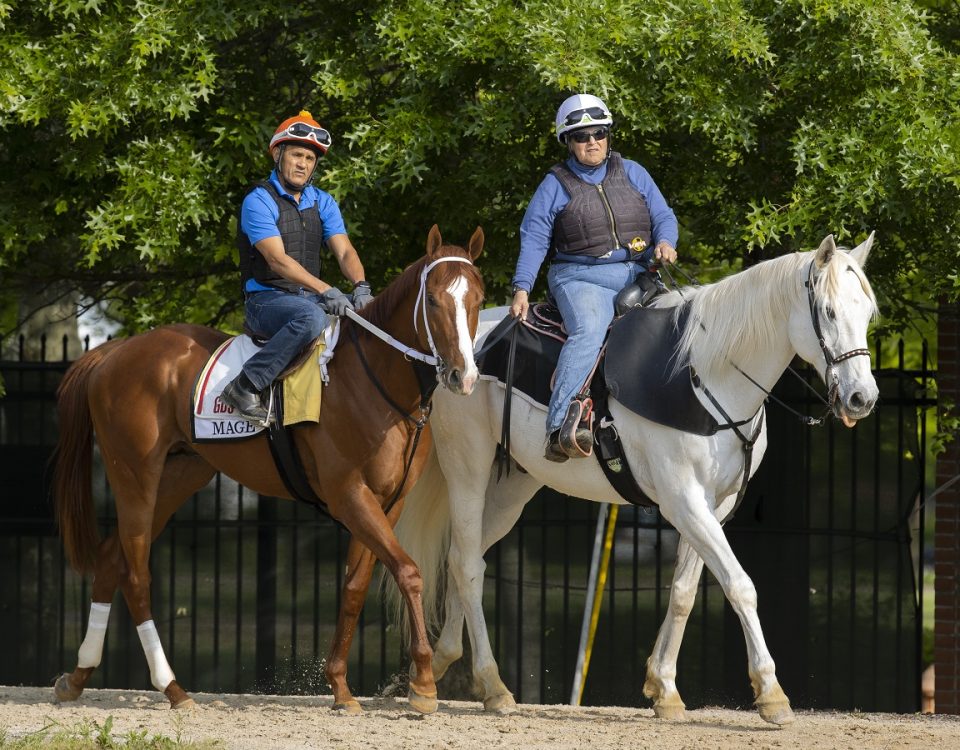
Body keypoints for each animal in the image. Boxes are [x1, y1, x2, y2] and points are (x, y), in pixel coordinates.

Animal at [52, 225, 484, 716]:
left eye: (477, 299)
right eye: (432, 300)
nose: (463, 376)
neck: (374, 382)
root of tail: (115, 352)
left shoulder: (386, 503)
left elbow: (356, 585)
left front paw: (340, 686)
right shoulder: (349, 494)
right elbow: (409, 572)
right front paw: (424, 684)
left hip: (179, 477)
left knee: (111, 560)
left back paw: (78, 676)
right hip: (135, 476)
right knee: (136, 573)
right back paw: (173, 688)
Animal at [392, 232, 876, 724]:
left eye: (867, 314)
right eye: (829, 312)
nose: (862, 397)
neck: (704, 375)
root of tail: (458, 355)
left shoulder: (712, 507)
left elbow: (683, 591)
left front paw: (663, 687)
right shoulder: (683, 501)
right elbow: (740, 586)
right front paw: (771, 693)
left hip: (513, 488)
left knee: (462, 556)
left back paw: (442, 661)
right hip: (467, 468)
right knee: (468, 566)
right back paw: (492, 685)